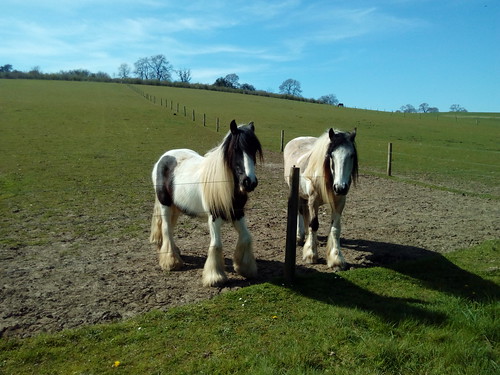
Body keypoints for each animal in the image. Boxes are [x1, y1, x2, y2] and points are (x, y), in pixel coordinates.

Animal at [150, 120, 264, 288]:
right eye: (236, 149)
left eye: (254, 149)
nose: (249, 182)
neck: (224, 183)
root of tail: (164, 158)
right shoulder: (214, 217)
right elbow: (216, 245)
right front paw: (215, 277)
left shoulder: (238, 213)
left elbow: (246, 237)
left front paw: (245, 268)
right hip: (165, 205)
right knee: (166, 229)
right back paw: (172, 262)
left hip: (175, 207)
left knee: (169, 228)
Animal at [284, 129, 358, 270]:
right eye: (331, 155)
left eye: (351, 155)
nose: (340, 187)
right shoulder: (313, 200)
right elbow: (314, 224)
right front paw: (311, 255)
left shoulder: (339, 202)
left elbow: (335, 228)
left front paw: (336, 259)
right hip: (296, 191)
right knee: (299, 211)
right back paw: (299, 237)